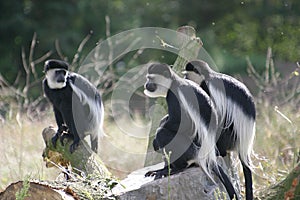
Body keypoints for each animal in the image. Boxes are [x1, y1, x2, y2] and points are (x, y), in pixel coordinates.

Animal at [144, 63, 238, 199]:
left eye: (150, 78)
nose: (146, 85)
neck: (174, 82)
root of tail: (207, 156)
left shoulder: (174, 96)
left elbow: (181, 123)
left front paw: (155, 141)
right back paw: (163, 169)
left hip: (190, 150)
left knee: (164, 134)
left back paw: (176, 168)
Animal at [184, 59, 256, 200]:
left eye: (187, 74)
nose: (184, 78)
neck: (208, 76)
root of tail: (243, 146)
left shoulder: (208, 88)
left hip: (230, 137)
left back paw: (219, 151)